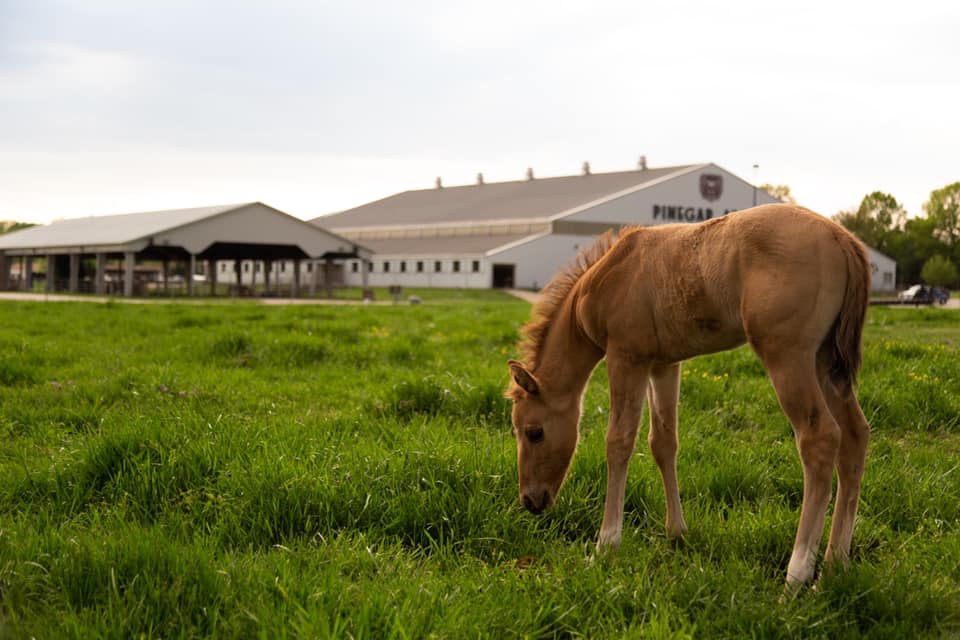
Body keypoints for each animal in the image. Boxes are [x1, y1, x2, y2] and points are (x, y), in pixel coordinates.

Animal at [506, 205, 872, 592]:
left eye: (533, 432)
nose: (530, 500)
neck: (607, 277)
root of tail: (842, 239)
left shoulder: (626, 357)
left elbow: (619, 442)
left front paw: (606, 545)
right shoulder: (663, 364)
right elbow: (663, 443)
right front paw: (676, 533)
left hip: (788, 356)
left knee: (820, 439)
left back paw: (798, 574)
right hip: (826, 361)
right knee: (855, 436)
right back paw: (835, 565)